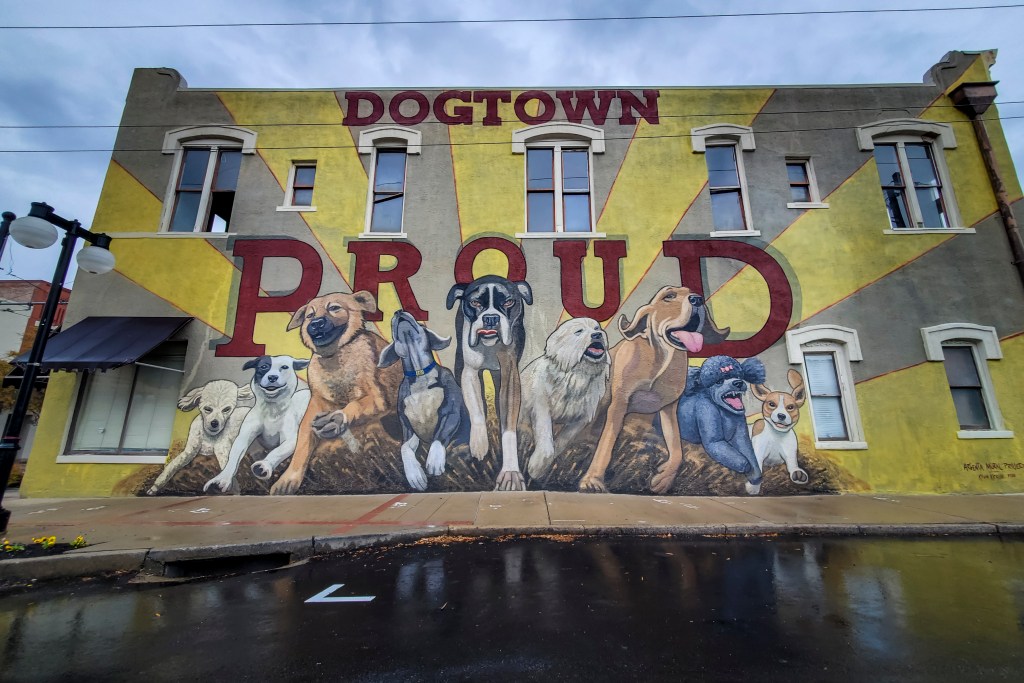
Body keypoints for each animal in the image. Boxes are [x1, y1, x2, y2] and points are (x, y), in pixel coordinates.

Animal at [201, 356, 309, 493]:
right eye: (263, 367)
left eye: (285, 367)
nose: (272, 377)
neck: (272, 410)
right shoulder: (243, 438)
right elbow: (233, 458)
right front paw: (222, 478)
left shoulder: (291, 440)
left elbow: (277, 451)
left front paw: (264, 465)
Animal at [520, 317, 606, 481]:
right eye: (579, 331)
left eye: (597, 328)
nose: (598, 335)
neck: (576, 376)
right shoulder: (541, 407)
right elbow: (546, 439)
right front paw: (536, 467)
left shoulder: (581, 419)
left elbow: (563, 440)